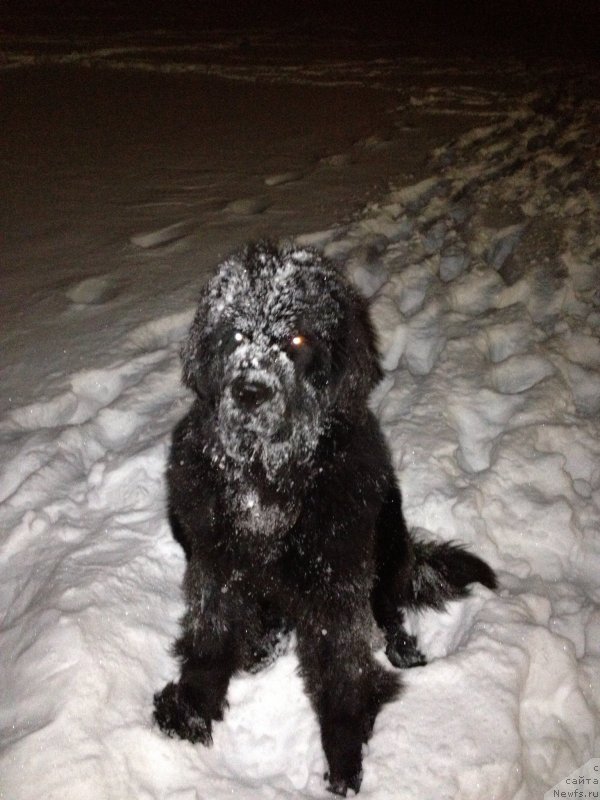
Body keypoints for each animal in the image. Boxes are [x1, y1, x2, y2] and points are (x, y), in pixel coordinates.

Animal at [152, 241, 494, 796]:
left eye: (296, 339)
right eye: (235, 335)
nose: (251, 391)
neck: (267, 481)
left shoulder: (335, 584)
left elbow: (341, 674)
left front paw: (344, 763)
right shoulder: (215, 566)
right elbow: (209, 638)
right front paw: (190, 712)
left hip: (388, 535)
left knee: (389, 610)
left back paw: (404, 651)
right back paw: (261, 646)